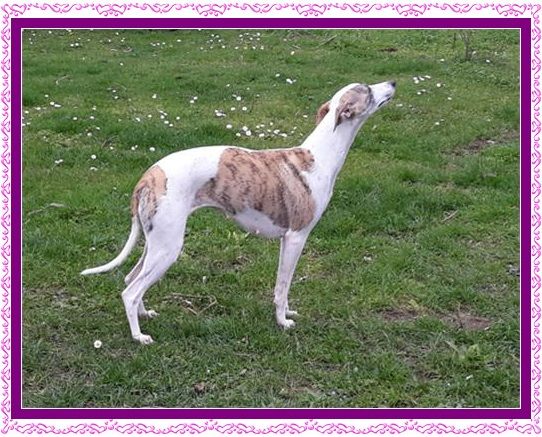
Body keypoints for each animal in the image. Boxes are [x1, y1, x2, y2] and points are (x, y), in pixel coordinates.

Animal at [81, 81, 396, 344]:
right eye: (368, 89)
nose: (392, 83)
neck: (318, 157)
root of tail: (147, 177)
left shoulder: (287, 240)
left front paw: (287, 314)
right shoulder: (296, 237)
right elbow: (282, 287)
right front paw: (282, 322)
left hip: (155, 242)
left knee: (131, 278)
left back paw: (145, 315)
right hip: (168, 247)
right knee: (130, 291)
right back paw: (139, 337)